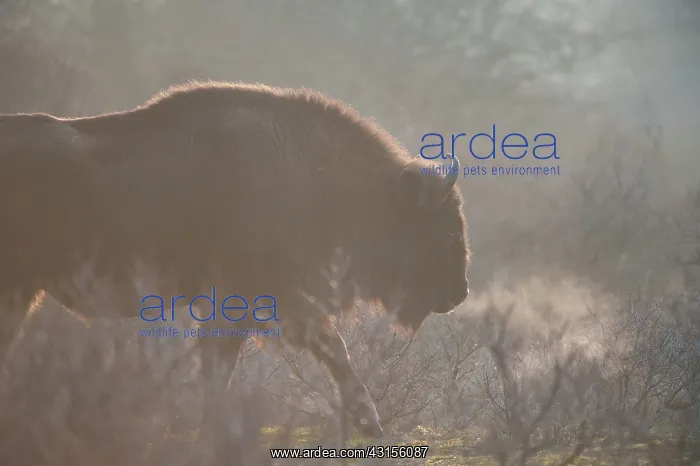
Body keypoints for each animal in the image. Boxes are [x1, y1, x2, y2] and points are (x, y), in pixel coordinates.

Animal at [0, 81, 470, 457]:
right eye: (445, 231)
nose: (460, 292)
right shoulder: (257, 302)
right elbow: (327, 350)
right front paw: (370, 422)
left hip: (21, 292)